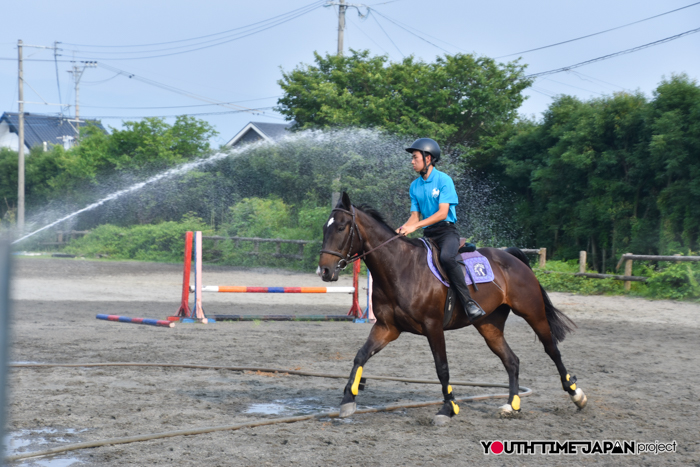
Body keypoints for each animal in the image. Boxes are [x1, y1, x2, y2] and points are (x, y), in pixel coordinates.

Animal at [318, 192, 587, 425]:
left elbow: (442, 368)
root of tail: (511, 257)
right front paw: (348, 399)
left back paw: (576, 394)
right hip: (489, 325)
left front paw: (448, 408)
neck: (401, 268)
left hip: (533, 313)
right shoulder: (386, 327)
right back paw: (512, 405)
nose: (325, 271)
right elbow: (361, 355)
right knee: (511, 360)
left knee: (552, 350)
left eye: (341, 227)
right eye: (324, 228)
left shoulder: (433, 327)